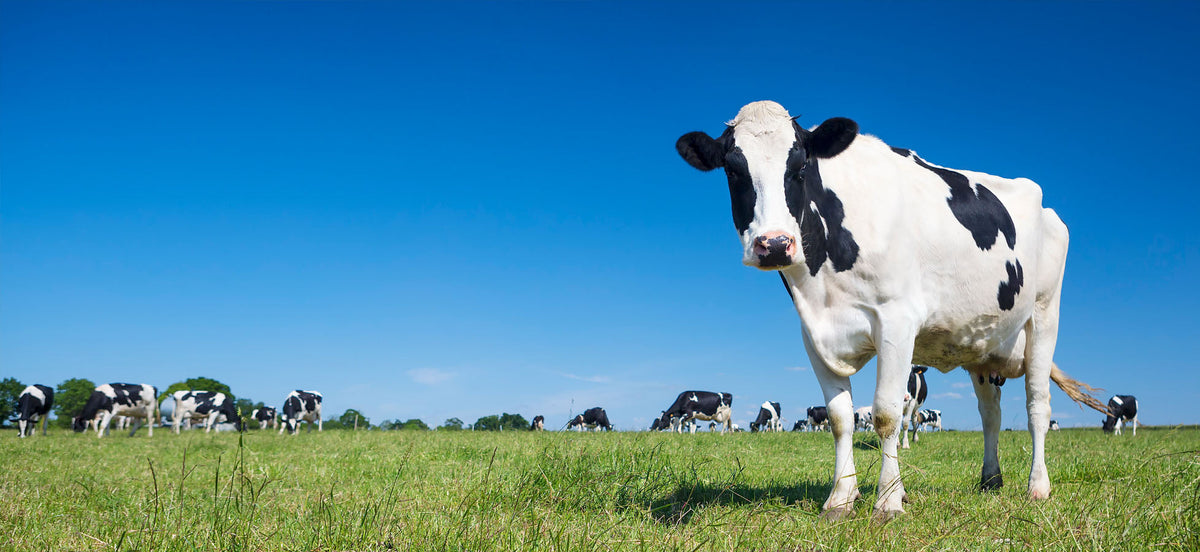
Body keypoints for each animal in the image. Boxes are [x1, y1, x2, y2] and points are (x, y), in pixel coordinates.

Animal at [676, 100, 1105, 520]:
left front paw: (888, 501)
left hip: (1044, 316)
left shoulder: (898, 321)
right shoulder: (813, 335)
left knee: (1037, 406)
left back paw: (1038, 487)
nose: (776, 244)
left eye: (799, 168)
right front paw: (841, 499)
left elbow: (885, 414)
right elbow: (840, 418)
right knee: (990, 413)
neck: (822, 287)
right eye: (733, 170)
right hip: (981, 347)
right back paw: (990, 479)